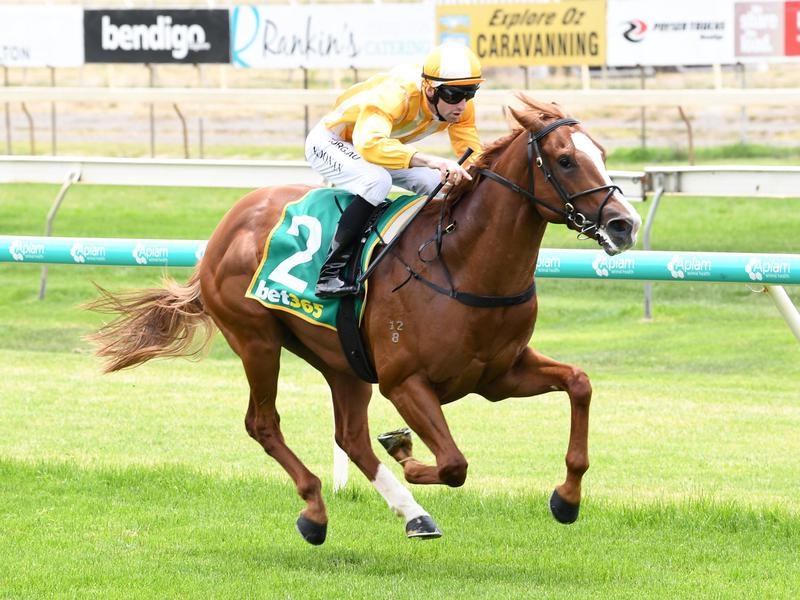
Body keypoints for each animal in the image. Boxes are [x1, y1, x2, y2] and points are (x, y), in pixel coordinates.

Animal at [87, 94, 641, 545]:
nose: (624, 224)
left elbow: (579, 383)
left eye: (602, 153)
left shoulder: (498, 375)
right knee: (263, 424)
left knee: (350, 437)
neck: (460, 262)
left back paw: (414, 515)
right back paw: (315, 511)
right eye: (566, 160)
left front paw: (566, 498)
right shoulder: (404, 381)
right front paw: (406, 448)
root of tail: (226, 227)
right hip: (256, 340)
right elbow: (453, 464)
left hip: (342, 361)